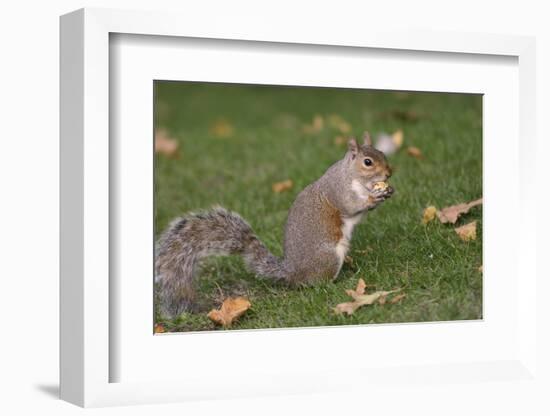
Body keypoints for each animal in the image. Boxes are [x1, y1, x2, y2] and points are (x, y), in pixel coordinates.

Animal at [155, 133, 394, 318]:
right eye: (368, 162)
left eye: (382, 153)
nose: (389, 174)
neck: (352, 176)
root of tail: (292, 273)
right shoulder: (339, 192)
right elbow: (351, 207)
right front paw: (373, 198)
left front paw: (386, 192)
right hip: (328, 257)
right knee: (315, 283)